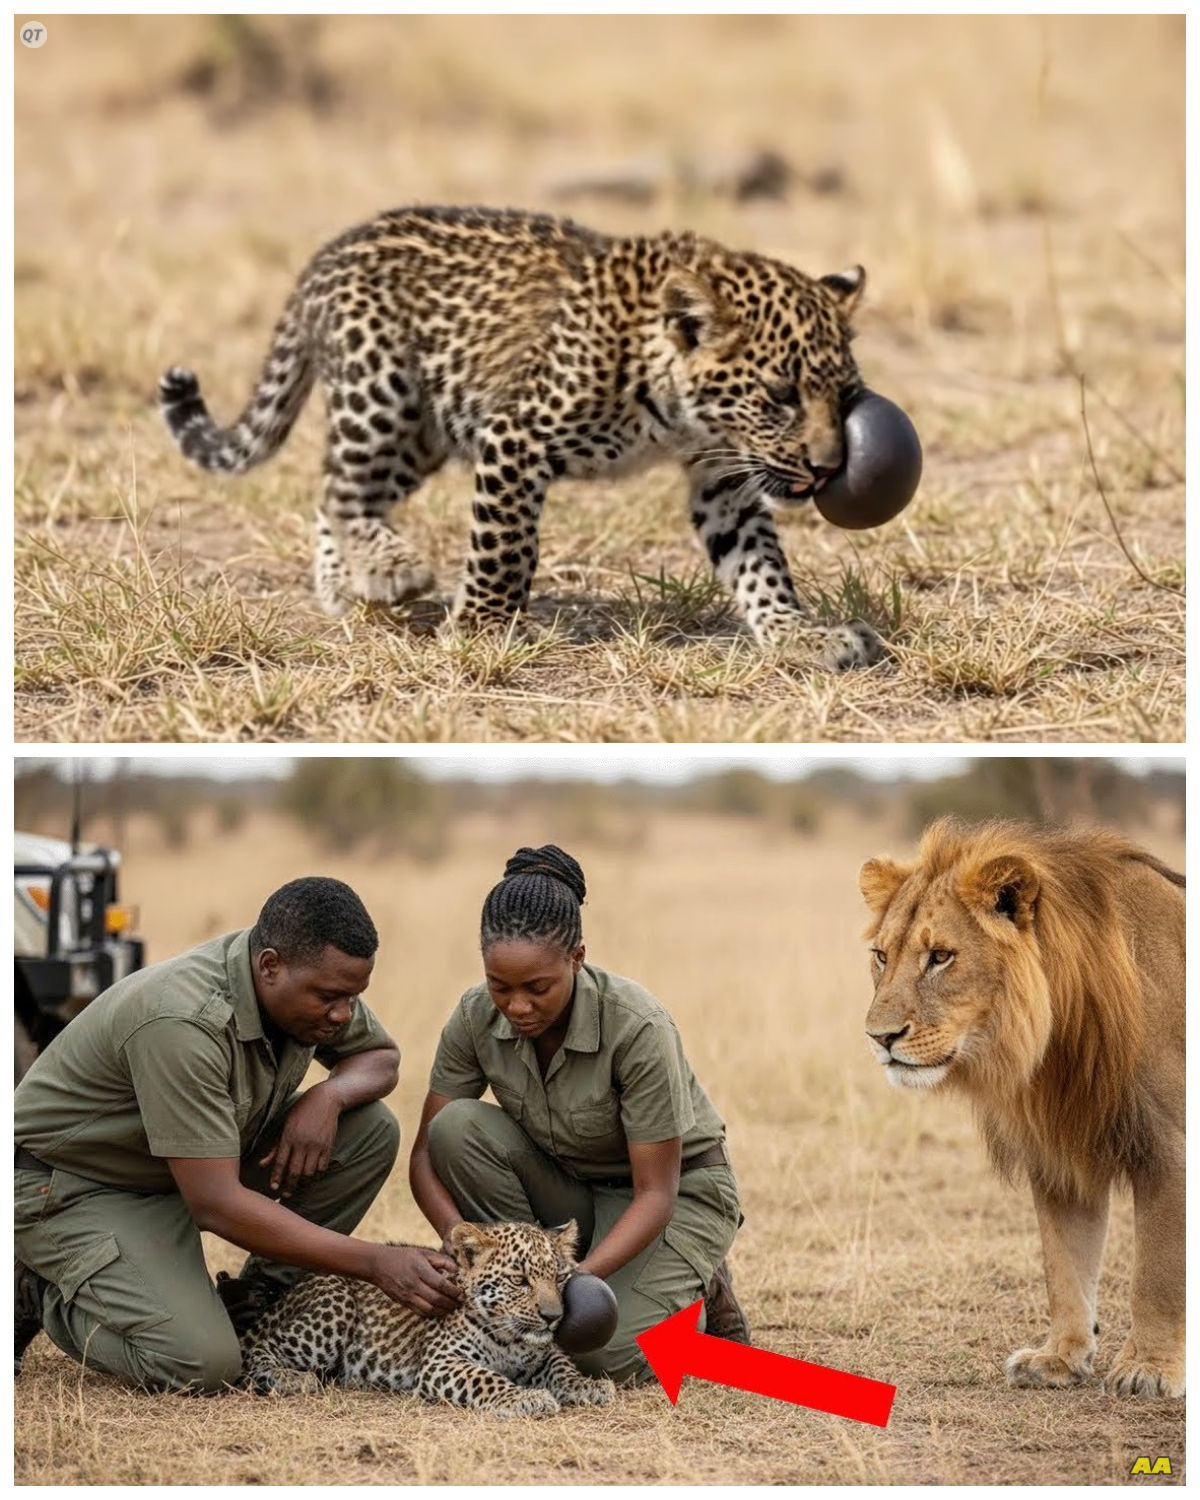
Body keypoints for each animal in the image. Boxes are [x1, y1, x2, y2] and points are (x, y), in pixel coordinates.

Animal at [859, 816, 1184, 1398]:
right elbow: (1065, 1264)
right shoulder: (1060, 1152)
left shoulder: (1168, 1144)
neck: (1057, 1044)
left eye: (940, 956)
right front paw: (1061, 1358)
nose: (880, 1037)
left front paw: (1148, 1369)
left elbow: (1159, 1272)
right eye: (881, 956)